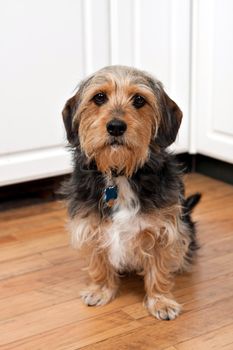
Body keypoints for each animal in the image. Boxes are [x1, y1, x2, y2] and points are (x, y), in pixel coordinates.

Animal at [60, 65, 200, 320]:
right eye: (99, 97)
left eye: (139, 100)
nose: (116, 126)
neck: (120, 174)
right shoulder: (91, 225)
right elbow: (98, 261)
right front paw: (101, 290)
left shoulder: (164, 230)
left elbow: (159, 268)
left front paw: (161, 300)